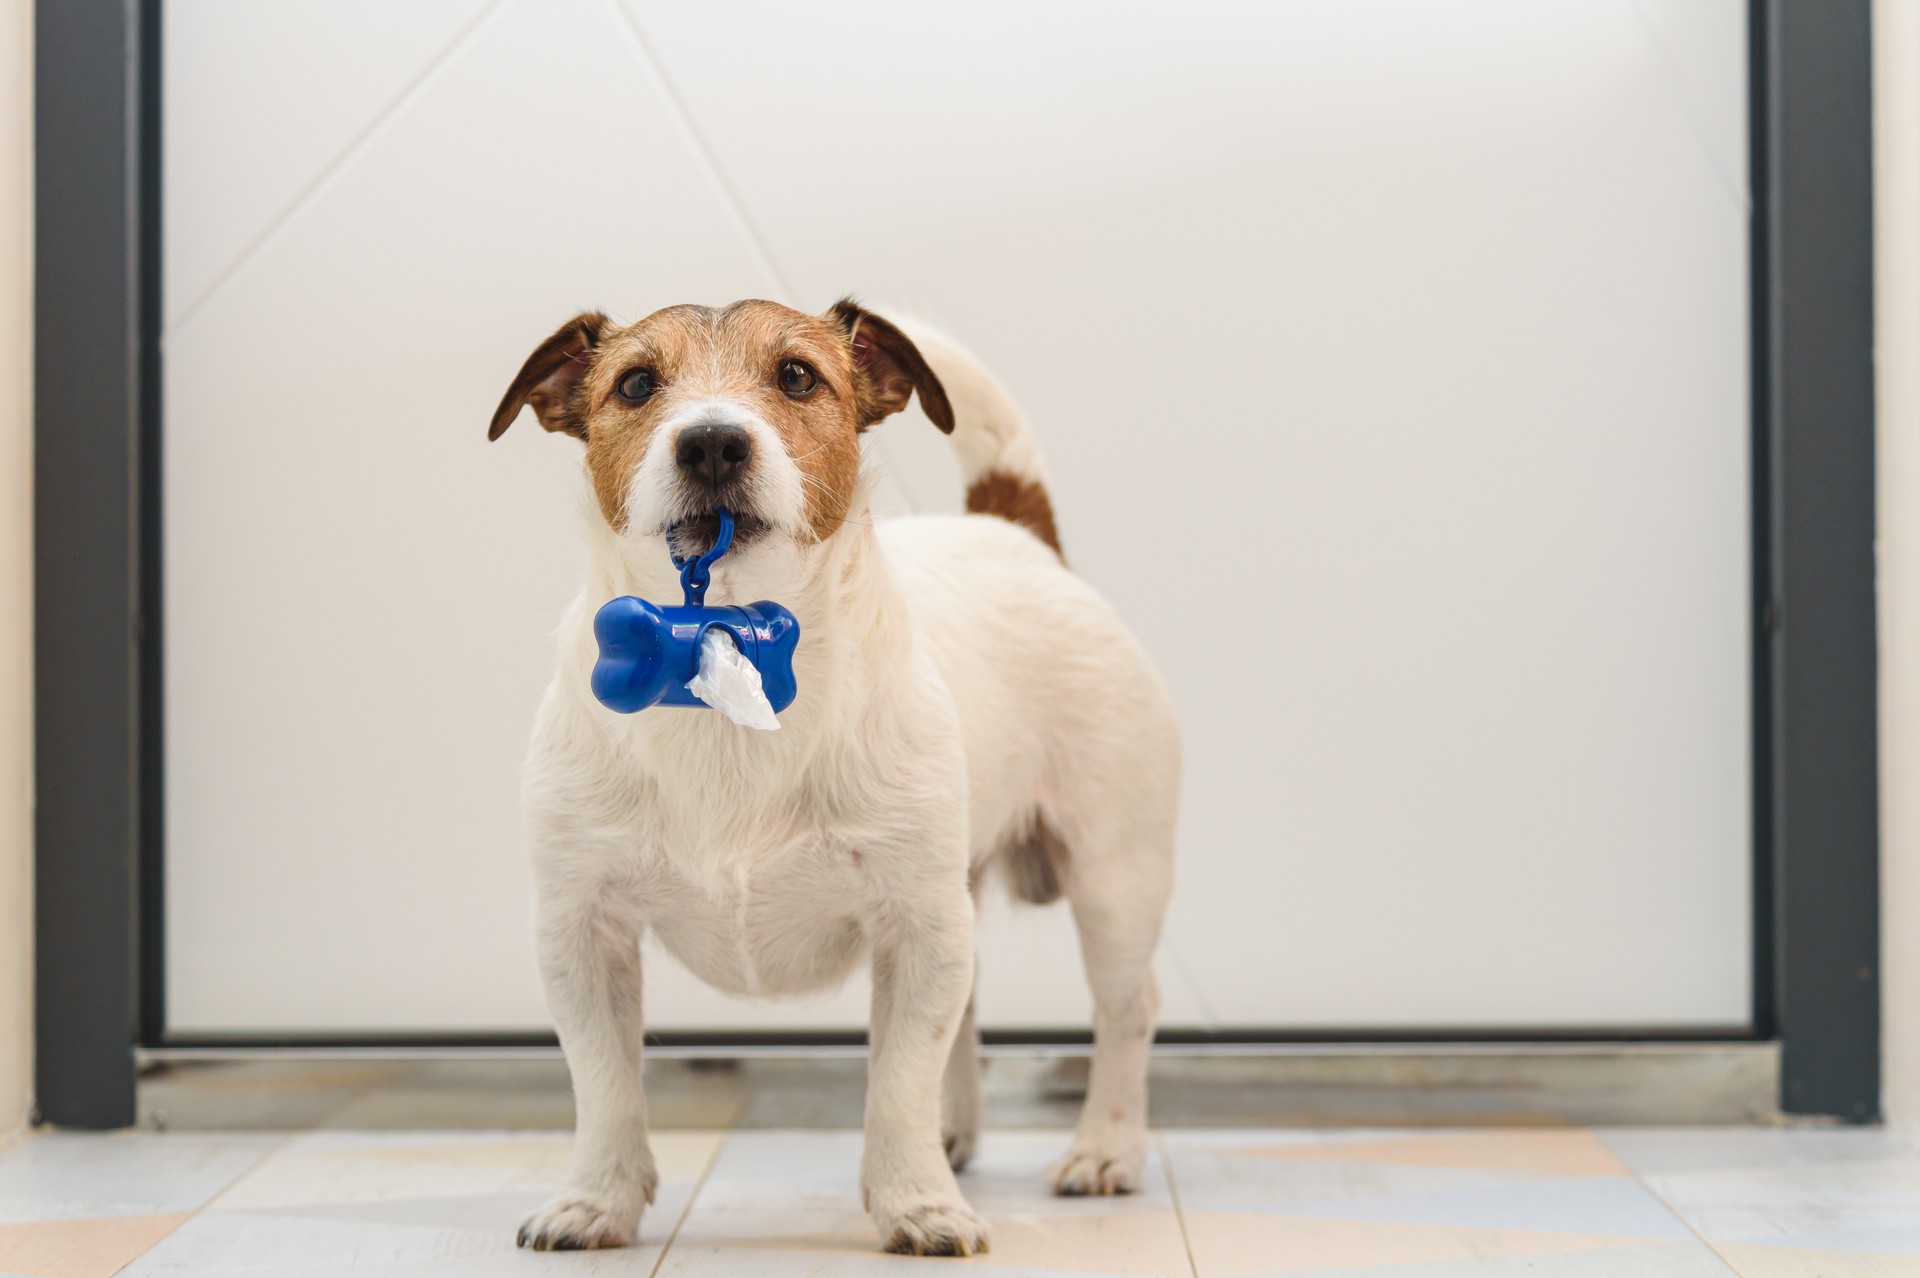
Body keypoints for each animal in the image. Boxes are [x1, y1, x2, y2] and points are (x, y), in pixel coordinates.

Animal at [487, 301, 1175, 1251]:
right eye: (636, 383)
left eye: (797, 376)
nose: (711, 443)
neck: (722, 644)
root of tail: (1017, 534)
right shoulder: (579, 934)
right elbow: (605, 1086)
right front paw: (597, 1199)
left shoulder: (917, 929)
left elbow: (897, 1082)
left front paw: (915, 1201)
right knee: (972, 1004)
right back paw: (957, 1134)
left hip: (1112, 880)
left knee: (1125, 1010)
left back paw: (1105, 1148)